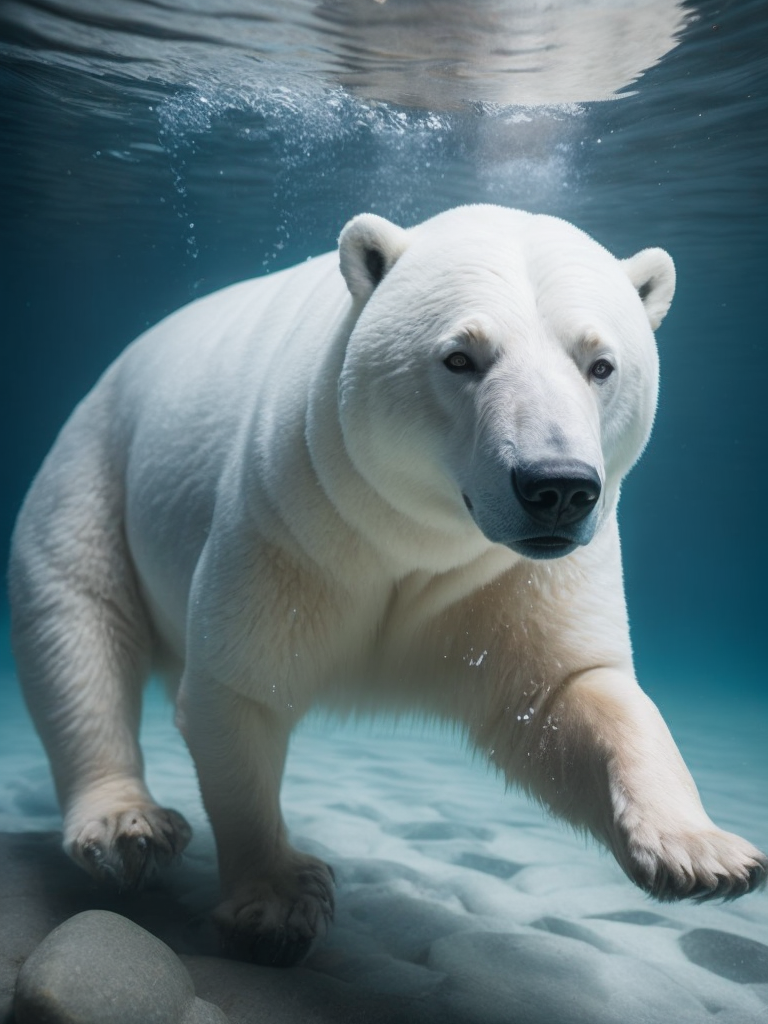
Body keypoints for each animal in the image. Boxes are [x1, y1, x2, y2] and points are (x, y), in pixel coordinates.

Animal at [9, 203, 765, 962]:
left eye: (601, 364)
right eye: (461, 357)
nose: (556, 488)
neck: (417, 534)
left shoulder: (513, 573)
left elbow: (564, 694)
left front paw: (704, 853)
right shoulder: (286, 518)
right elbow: (240, 690)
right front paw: (278, 899)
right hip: (94, 472)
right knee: (76, 624)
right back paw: (127, 826)